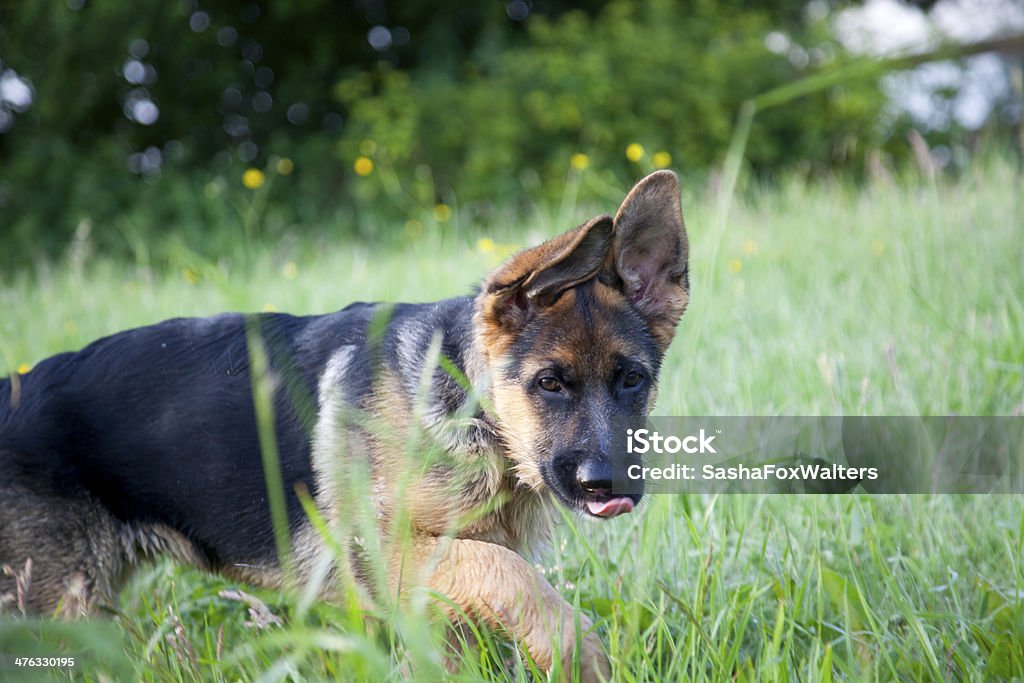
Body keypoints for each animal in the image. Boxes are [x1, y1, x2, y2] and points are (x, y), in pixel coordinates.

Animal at [2, 171, 688, 683]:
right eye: (549, 383)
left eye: (632, 380)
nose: (611, 487)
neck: (471, 407)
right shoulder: (386, 554)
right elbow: (516, 579)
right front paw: (579, 657)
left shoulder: (441, 586)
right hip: (52, 606)